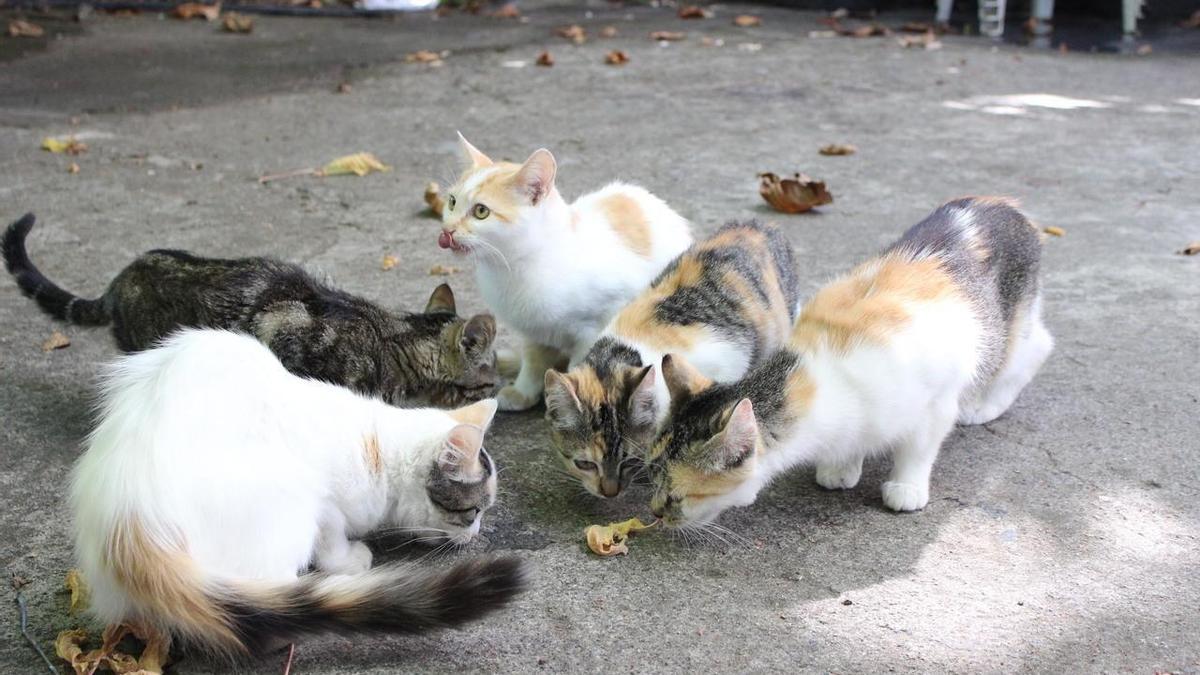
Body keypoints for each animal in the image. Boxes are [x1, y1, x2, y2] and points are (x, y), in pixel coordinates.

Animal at [73, 329, 525, 658]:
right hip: (289, 497)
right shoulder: (327, 502)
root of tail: (131, 523)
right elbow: (332, 538)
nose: (476, 534)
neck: (377, 448)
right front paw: (348, 560)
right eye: (472, 512)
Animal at [439, 134, 696, 410]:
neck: (515, 268)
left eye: (481, 211)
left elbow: (581, 365)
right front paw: (523, 391)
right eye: (452, 202)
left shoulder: (597, 326)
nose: (447, 230)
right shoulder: (534, 330)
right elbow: (533, 360)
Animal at [648, 196, 1051, 523]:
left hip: (1010, 327)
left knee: (1038, 347)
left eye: (677, 496)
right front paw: (841, 467)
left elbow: (919, 448)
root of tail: (1004, 204)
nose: (654, 513)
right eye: (651, 473)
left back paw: (985, 405)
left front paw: (907, 486)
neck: (815, 374)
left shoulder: (935, 401)